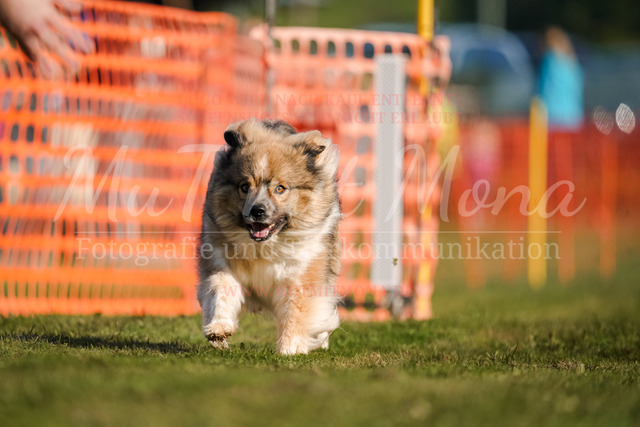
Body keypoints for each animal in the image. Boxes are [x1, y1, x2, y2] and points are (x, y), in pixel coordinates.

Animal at [197, 119, 341, 355]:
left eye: (280, 188)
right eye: (244, 186)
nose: (257, 210)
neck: (264, 246)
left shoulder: (300, 273)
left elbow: (295, 311)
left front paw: (290, 348)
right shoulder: (220, 262)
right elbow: (220, 292)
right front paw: (218, 329)